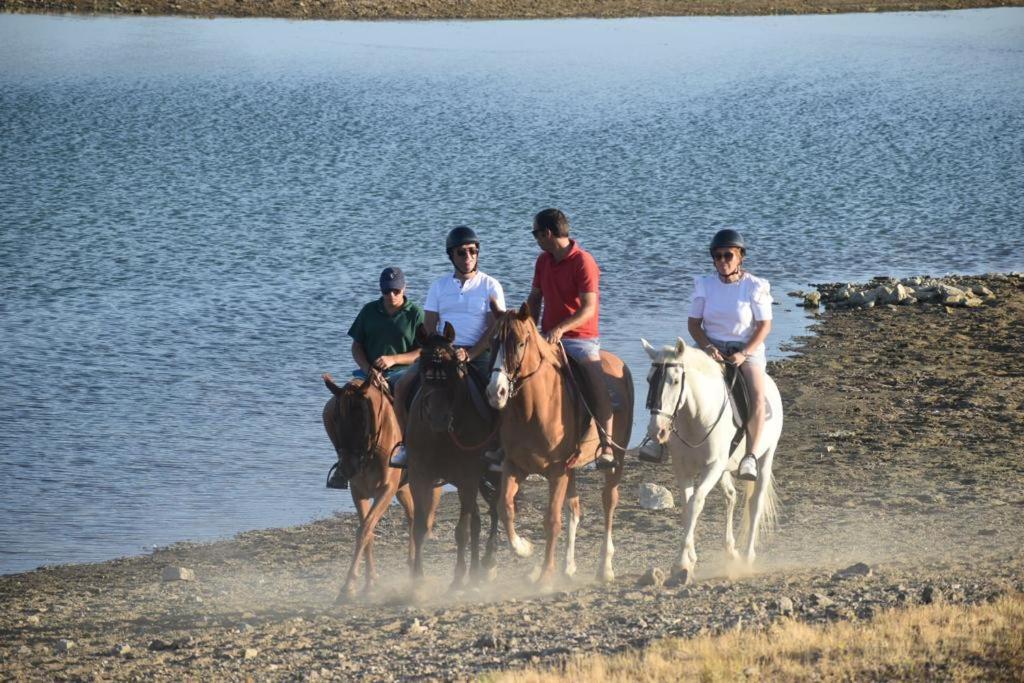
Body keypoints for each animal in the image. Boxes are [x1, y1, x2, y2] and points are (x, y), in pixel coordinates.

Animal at [319, 370, 423, 602]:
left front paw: (348, 586)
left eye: (361, 417)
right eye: (335, 418)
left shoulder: (386, 490)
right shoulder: (359, 492)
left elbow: (365, 529)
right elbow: (367, 532)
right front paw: (369, 582)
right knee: (412, 516)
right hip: (403, 489)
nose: (347, 467)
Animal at [407, 323, 503, 589]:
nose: (438, 418)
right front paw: (417, 581)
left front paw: (458, 578)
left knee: (495, 509)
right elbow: (420, 527)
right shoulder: (419, 476)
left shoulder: (468, 477)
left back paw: (488, 562)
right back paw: (476, 570)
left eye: (452, 369)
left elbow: (462, 530)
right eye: (423, 368)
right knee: (479, 519)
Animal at [485, 301, 630, 585]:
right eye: (493, 342)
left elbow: (552, 520)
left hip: (614, 462)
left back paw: (604, 567)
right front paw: (523, 548)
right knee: (574, 508)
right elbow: (505, 508)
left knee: (609, 501)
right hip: (571, 469)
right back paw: (569, 566)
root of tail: (619, 365)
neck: (533, 409)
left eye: (520, 343)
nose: (496, 392)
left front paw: (545, 575)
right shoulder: (515, 466)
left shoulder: (557, 470)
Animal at [638, 335, 782, 581]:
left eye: (675, 381)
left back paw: (747, 558)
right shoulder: (683, 468)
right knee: (731, 496)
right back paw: (731, 551)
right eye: (649, 379)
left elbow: (696, 503)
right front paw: (688, 559)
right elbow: (687, 508)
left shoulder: (712, 467)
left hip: (765, 458)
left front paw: (681, 563)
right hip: (724, 469)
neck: (696, 416)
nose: (656, 431)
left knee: (755, 503)